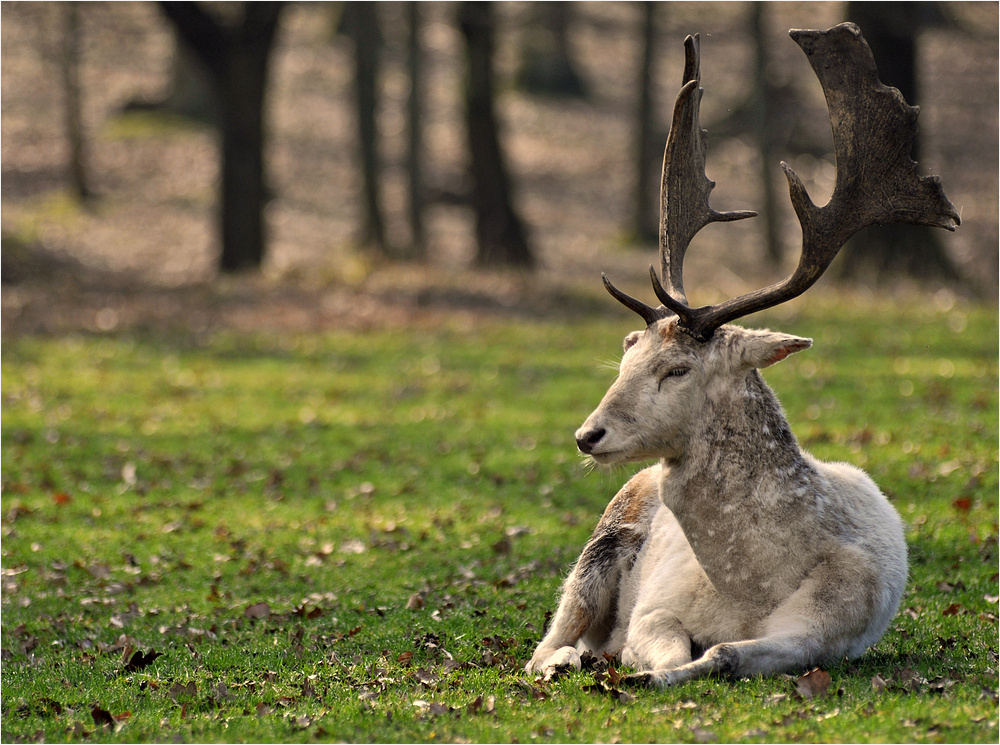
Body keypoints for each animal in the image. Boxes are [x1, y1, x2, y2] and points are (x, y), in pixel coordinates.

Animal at [528, 23, 956, 684]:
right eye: (625, 360)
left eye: (677, 369)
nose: (586, 435)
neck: (751, 589)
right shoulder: (655, 606)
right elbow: (661, 642)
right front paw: (634, 668)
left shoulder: (826, 631)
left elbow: (725, 654)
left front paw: (651, 674)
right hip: (598, 546)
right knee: (545, 642)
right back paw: (568, 659)